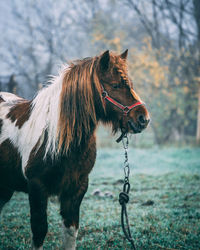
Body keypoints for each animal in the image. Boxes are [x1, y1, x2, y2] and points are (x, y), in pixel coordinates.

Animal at [0, 49, 149, 249]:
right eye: (115, 85)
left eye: (130, 84)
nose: (143, 119)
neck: (56, 137)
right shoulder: (37, 187)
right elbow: (39, 231)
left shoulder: (76, 188)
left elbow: (70, 232)